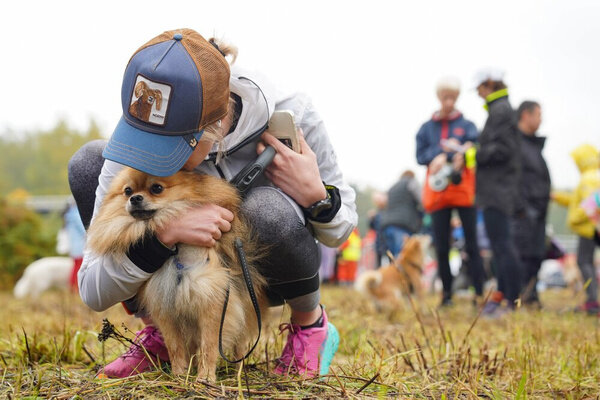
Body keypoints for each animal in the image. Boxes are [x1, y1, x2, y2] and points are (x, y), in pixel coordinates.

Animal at [86, 166, 268, 382]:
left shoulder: (212, 304)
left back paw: (238, 374)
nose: (135, 198)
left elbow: (209, 346)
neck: (178, 257)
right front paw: (179, 374)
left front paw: (206, 378)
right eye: (127, 191)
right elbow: (175, 347)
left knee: (240, 344)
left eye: (156, 188)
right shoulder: (165, 308)